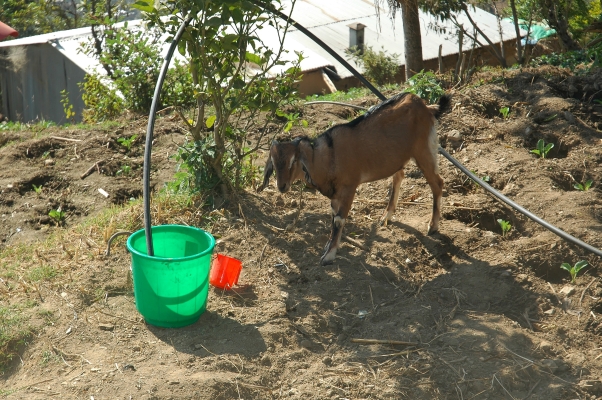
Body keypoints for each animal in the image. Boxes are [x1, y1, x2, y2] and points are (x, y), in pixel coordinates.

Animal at [258, 92, 451, 265]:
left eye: (293, 161)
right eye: (273, 162)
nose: (282, 186)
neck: (328, 156)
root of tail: (426, 107)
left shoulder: (350, 186)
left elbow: (339, 219)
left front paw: (329, 256)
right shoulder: (336, 193)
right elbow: (333, 217)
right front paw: (329, 247)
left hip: (423, 150)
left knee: (437, 183)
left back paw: (433, 226)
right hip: (398, 157)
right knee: (399, 176)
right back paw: (386, 215)